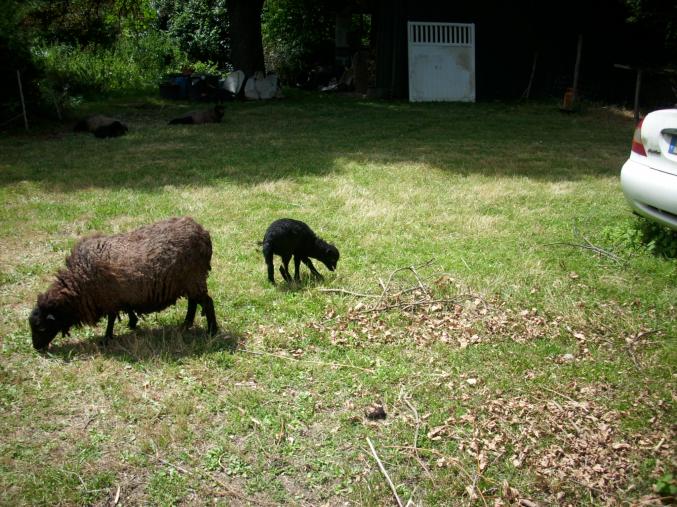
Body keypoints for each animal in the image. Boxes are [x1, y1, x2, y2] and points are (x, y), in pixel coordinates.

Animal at [29, 217, 218, 350]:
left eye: (41, 328)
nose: (37, 348)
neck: (79, 282)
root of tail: (203, 232)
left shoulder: (108, 299)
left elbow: (112, 318)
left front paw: (106, 338)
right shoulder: (119, 296)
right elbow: (127, 309)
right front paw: (132, 323)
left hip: (194, 278)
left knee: (207, 303)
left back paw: (212, 331)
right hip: (189, 282)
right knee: (193, 302)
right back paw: (186, 325)